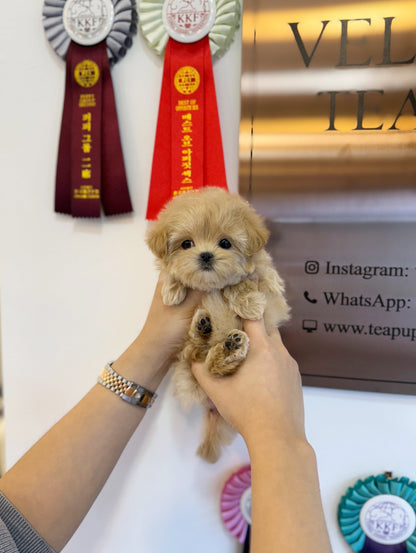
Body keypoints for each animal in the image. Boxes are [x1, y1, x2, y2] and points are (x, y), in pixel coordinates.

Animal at [146, 187, 290, 462]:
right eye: (186, 244)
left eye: (225, 243)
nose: (205, 255)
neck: (211, 285)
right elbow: (171, 272)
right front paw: (172, 290)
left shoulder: (260, 274)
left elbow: (242, 282)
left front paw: (249, 303)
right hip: (186, 362)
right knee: (199, 354)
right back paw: (207, 332)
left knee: (212, 365)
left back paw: (227, 347)